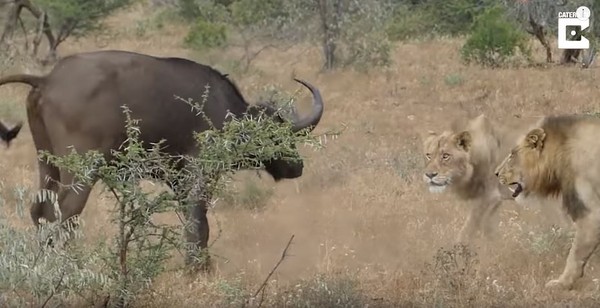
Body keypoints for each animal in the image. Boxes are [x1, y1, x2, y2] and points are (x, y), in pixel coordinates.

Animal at [0, 49, 324, 268]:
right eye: (275, 135)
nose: (297, 165)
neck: (227, 113)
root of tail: (47, 79)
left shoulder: (177, 181)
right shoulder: (199, 174)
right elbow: (198, 223)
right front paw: (197, 268)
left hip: (48, 164)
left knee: (40, 210)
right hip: (81, 170)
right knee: (64, 213)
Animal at [422, 113, 524, 243]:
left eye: (446, 156)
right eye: (428, 155)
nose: (430, 175)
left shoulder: (488, 197)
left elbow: (468, 229)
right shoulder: (496, 200)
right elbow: (488, 227)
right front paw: (495, 243)